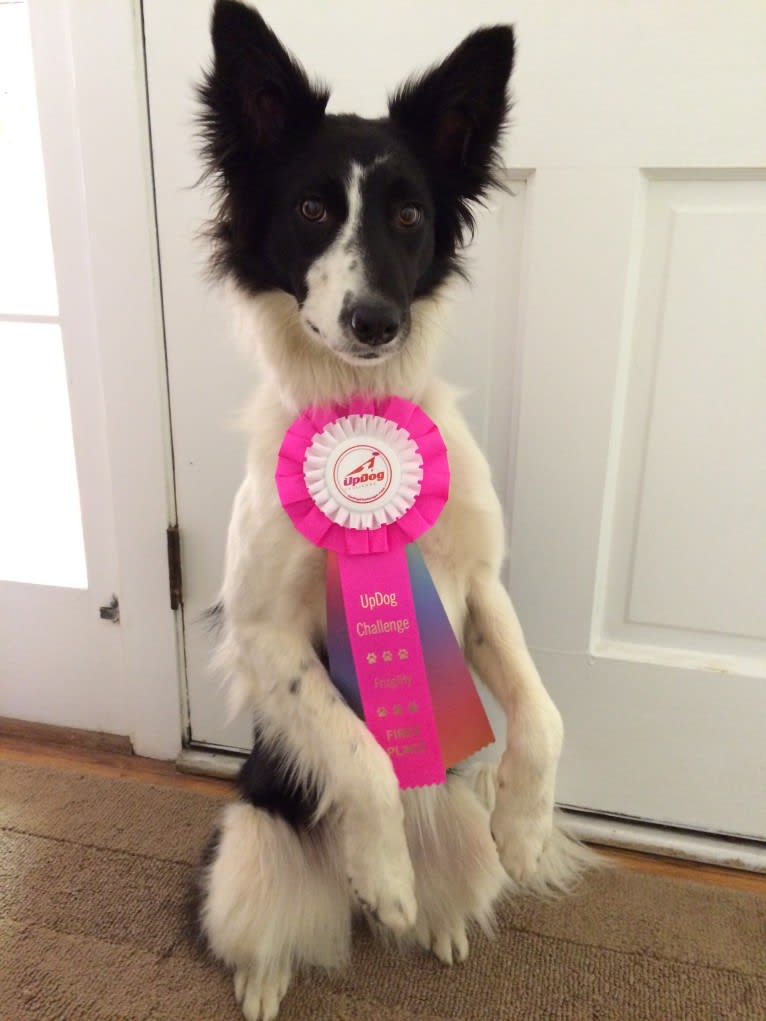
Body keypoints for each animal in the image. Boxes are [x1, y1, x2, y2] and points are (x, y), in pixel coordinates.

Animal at [198, 3, 600, 1016]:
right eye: (310, 210)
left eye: (410, 215)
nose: (376, 320)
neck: (358, 405)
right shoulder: (262, 633)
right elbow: (360, 752)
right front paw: (381, 873)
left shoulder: (478, 584)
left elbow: (543, 713)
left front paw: (526, 827)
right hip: (249, 842)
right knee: (268, 925)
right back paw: (278, 966)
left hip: (451, 809)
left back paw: (444, 923)